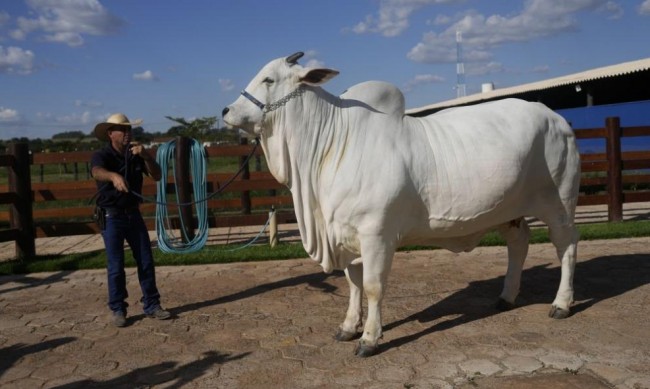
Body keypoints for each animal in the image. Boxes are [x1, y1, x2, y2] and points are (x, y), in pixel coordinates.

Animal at [221, 52, 576, 358]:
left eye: (268, 79)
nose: (226, 111)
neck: (329, 147)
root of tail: (557, 118)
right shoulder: (346, 235)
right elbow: (353, 284)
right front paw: (348, 326)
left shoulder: (376, 234)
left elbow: (373, 286)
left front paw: (369, 339)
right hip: (509, 212)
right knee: (519, 243)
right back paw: (506, 296)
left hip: (559, 204)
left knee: (567, 248)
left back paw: (561, 304)